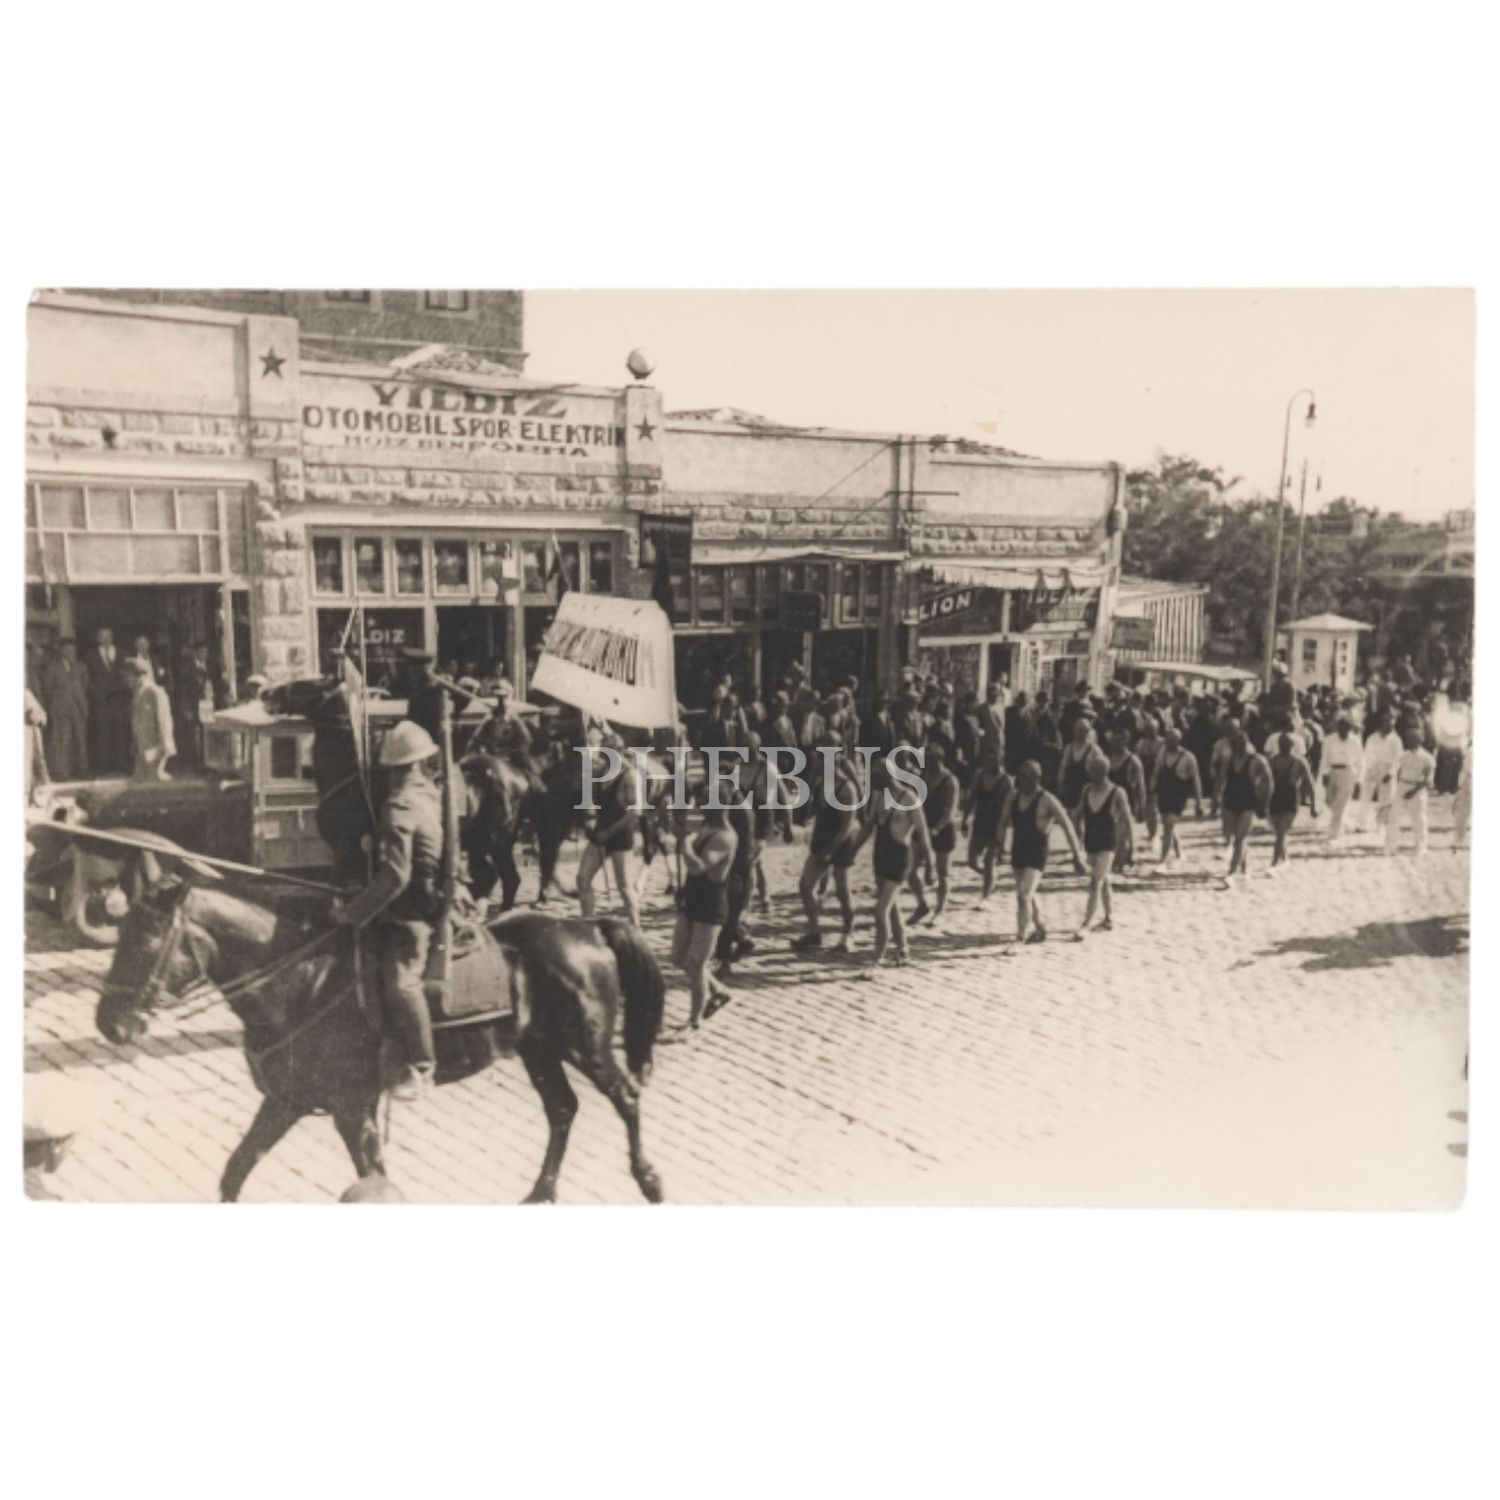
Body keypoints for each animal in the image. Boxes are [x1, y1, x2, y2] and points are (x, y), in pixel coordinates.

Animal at [95, 871, 667, 1204]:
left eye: (145, 941)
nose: (108, 1024)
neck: (303, 980)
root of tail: (589, 926)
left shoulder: (353, 1110)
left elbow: (373, 1176)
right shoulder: (286, 1102)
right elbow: (235, 1172)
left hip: (586, 1045)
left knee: (627, 1097)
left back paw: (648, 1180)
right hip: (539, 1049)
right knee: (563, 1110)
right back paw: (541, 1192)